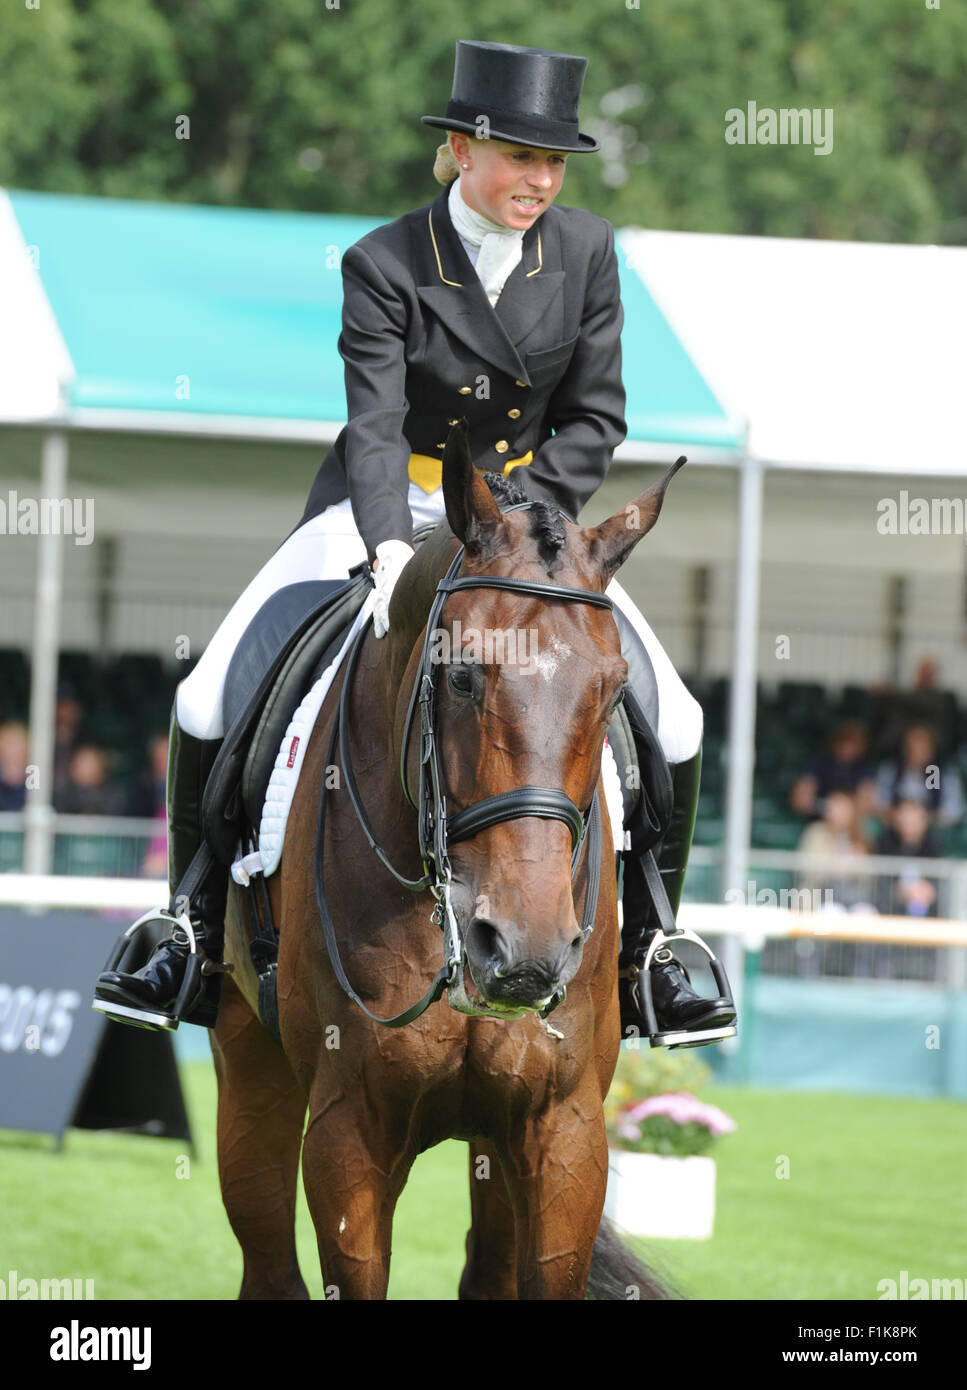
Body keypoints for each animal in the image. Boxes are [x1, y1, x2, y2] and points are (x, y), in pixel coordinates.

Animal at [208, 425, 683, 1301]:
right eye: (460, 676)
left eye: (611, 692)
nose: (526, 951)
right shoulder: (348, 1132)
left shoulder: (562, 1128)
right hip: (247, 1058)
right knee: (267, 1261)